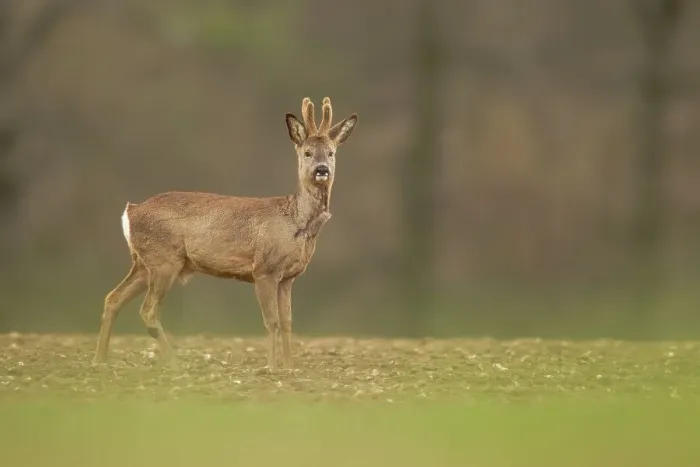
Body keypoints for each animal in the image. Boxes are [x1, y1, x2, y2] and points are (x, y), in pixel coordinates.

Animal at [93, 96, 358, 371]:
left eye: (331, 152)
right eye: (307, 152)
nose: (322, 169)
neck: (295, 221)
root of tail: (131, 211)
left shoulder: (288, 278)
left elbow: (287, 323)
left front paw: (289, 367)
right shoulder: (264, 269)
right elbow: (271, 321)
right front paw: (271, 367)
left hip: (145, 263)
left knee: (113, 298)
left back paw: (99, 360)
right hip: (163, 260)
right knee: (148, 311)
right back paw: (174, 362)